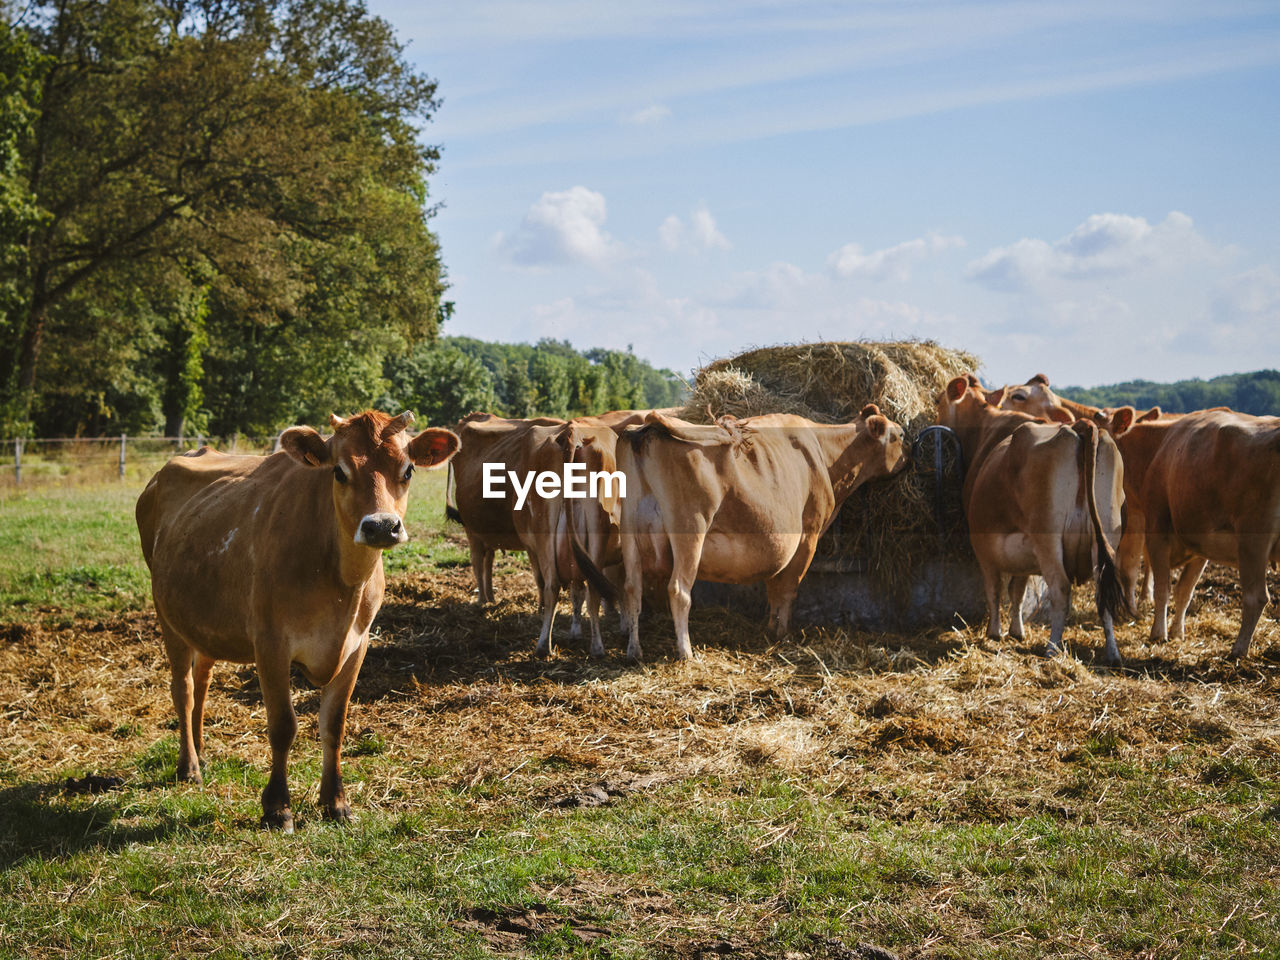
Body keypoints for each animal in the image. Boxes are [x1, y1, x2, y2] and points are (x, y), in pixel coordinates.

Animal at [137, 409, 458, 829]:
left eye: (407, 470)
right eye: (338, 471)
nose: (381, 526)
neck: (341, 583)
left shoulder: (357, 645)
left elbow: (333, 724)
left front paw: (336, 802)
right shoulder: (270, 644)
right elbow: (283, 726)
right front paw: (277, 807)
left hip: (205, 620)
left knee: (203, 679)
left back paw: (202, 752)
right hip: (167, 614)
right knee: (184, 688)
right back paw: (188, 764)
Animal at [586, 407, 906, 660]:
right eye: (899, 435)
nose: (909, 454)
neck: (824, 453)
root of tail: (647, 427)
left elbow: (774, 587)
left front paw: (772, 627)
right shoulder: (808, 536)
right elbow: (786, 588)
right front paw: (779, 632)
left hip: (630, 530)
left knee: (632, 589)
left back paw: (634, 650)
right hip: (691, 529)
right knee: (678, 589)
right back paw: (685, 652)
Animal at [931, 378, 1131, 665]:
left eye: (937, 401)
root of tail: (1080, 426)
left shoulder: (982, 545)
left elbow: (995, 589)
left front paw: (994, 632)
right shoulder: (1023, 552)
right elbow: (1018, 589)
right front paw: (1017, 630)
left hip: (1047, 538)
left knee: (1061, 589)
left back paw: (1052, 648)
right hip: (1105, 535)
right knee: (1102, 595)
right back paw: (1112, 653)